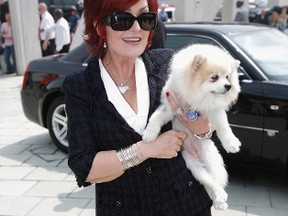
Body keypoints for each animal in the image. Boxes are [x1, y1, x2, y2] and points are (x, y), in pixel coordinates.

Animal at [143, 44, 242, 209]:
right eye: (215, 77)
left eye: (227, 77)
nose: (228, 86)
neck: (196, 95)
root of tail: (195, 152)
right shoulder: (169, 106)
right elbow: (155, 118)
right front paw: (149, 134)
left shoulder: (214, 110)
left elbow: (223, 127)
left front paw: (231, 144)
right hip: (192, 164)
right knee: (209, 180)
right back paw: (219, 198)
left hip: (208, 156)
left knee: (214, 177)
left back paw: (220, 200)